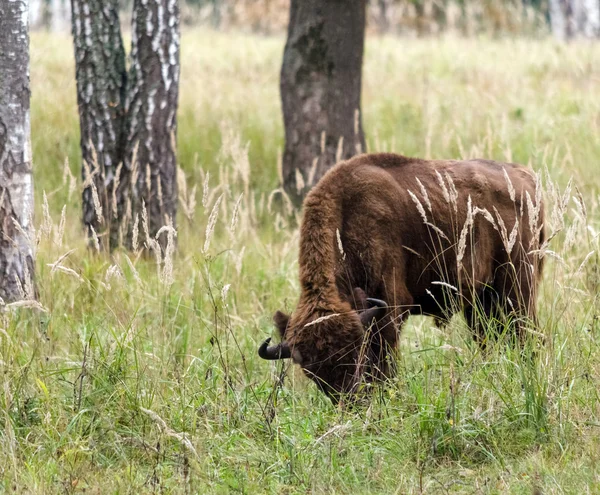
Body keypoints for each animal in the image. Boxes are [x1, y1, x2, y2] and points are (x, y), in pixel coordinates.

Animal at [258, 154, 544, 404]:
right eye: (310, 370)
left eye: (353, 353)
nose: (351, 401)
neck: (347, 216)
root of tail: (527, 178)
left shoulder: (390, 309)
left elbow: (386, 362)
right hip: (480, 302)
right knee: (490, 338)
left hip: (516, 290)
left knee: (526, 335)